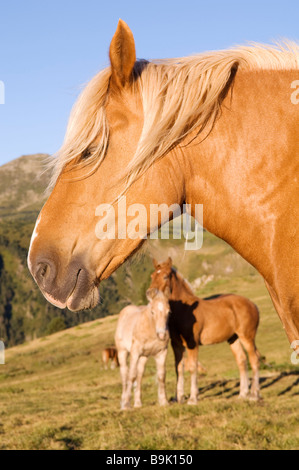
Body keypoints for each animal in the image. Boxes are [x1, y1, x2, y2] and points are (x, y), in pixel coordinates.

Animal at [151, 258, 262, 404]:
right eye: (152, 276)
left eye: (164, 276)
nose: (150, 293)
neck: (185, 310)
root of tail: (253, 305)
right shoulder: (177, 345)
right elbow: (179, 368)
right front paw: (178, 398)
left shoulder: (192, 344)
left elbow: (192, 367)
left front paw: (193, 398)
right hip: (233, 338)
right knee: (242, 360)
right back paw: (243, 394)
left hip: (247, 337)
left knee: (254, 359)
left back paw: (254, 394)